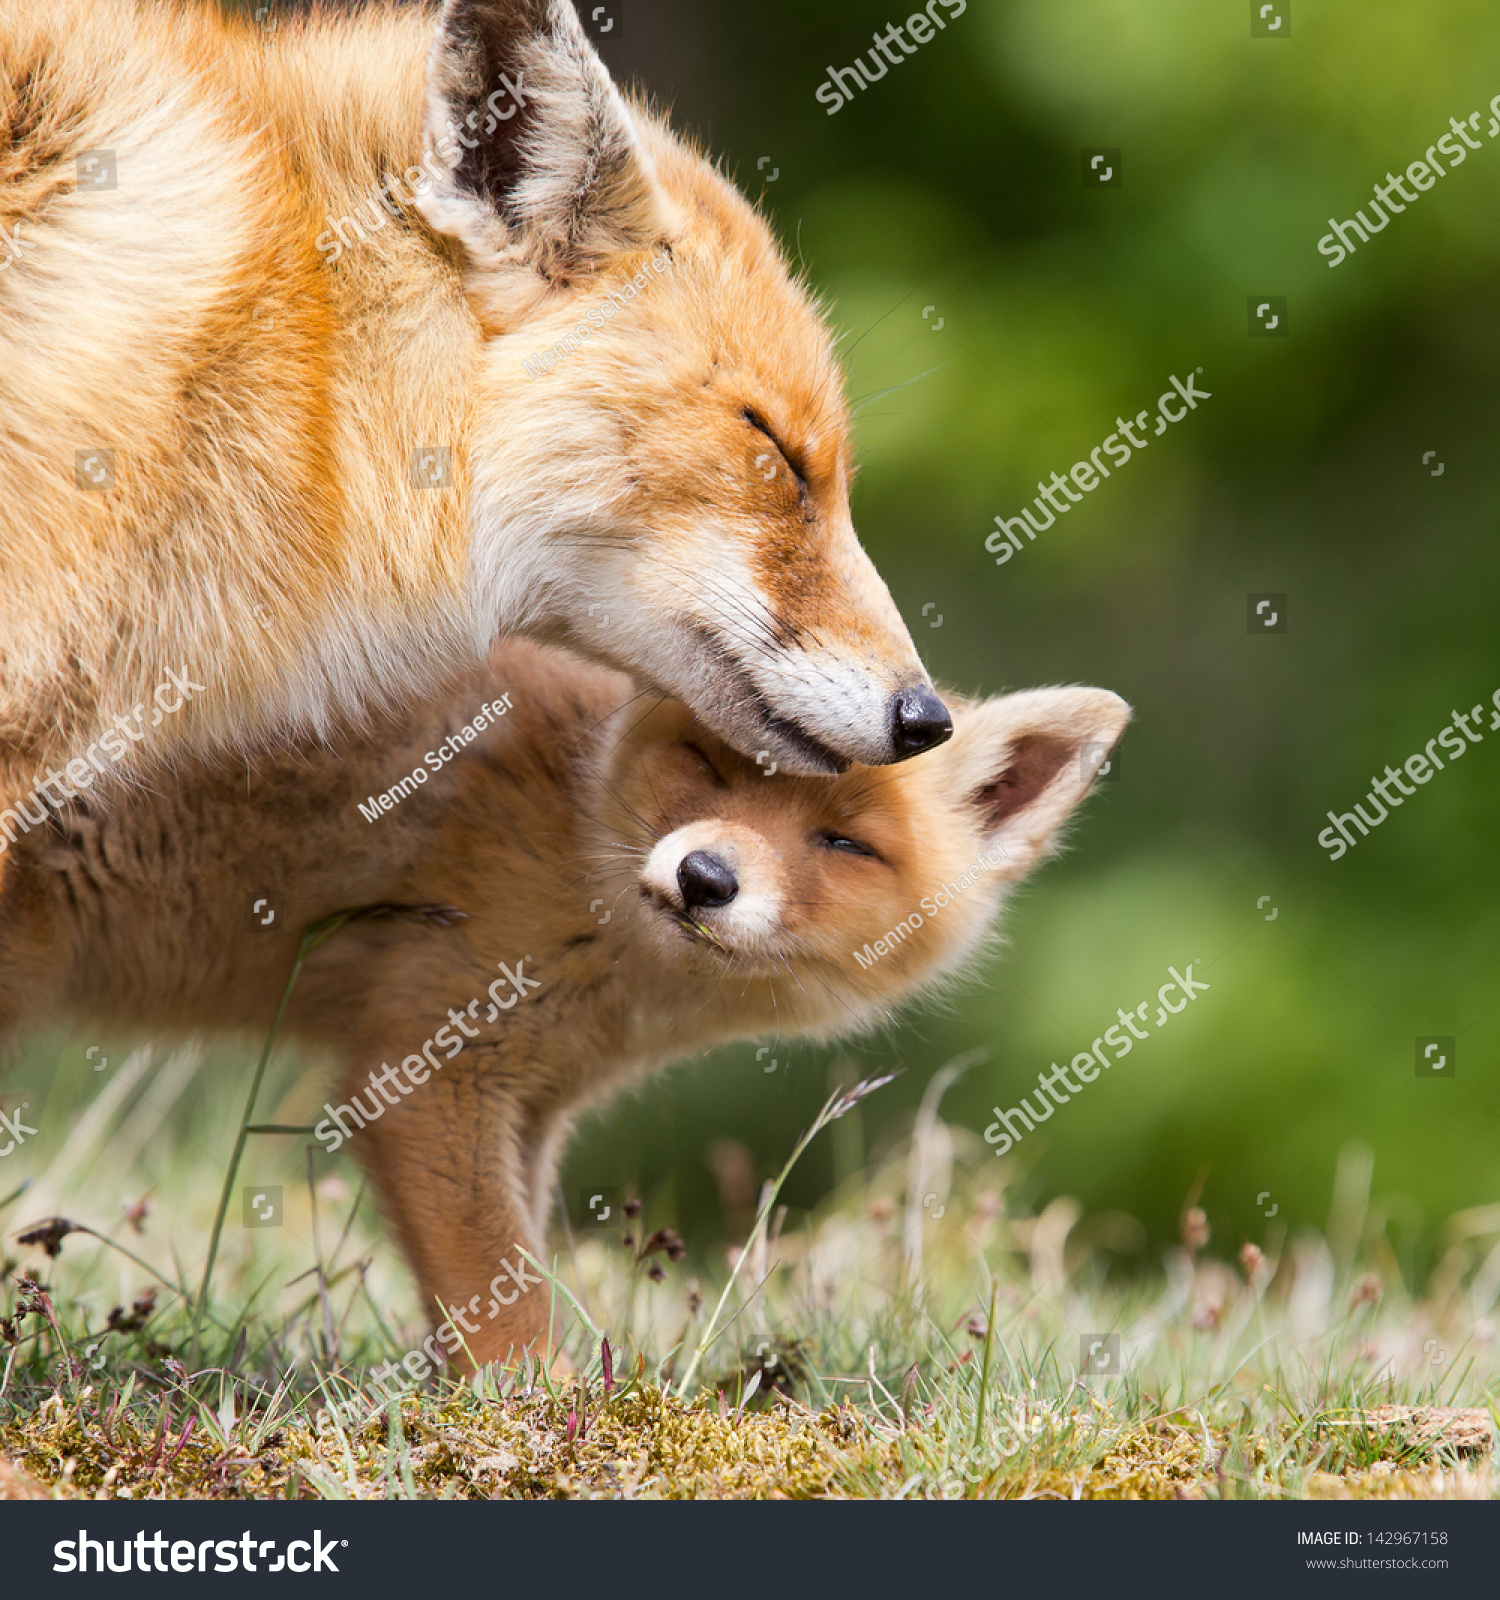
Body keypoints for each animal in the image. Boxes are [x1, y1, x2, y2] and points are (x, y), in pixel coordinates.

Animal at [0, 639, 1128, 1368]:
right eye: (711, 765)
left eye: (846, 843)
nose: (705, 878)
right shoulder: (423, 1073)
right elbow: (505, 1297)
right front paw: (536, 1421)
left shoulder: (535, 1102)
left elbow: (516, 1266)